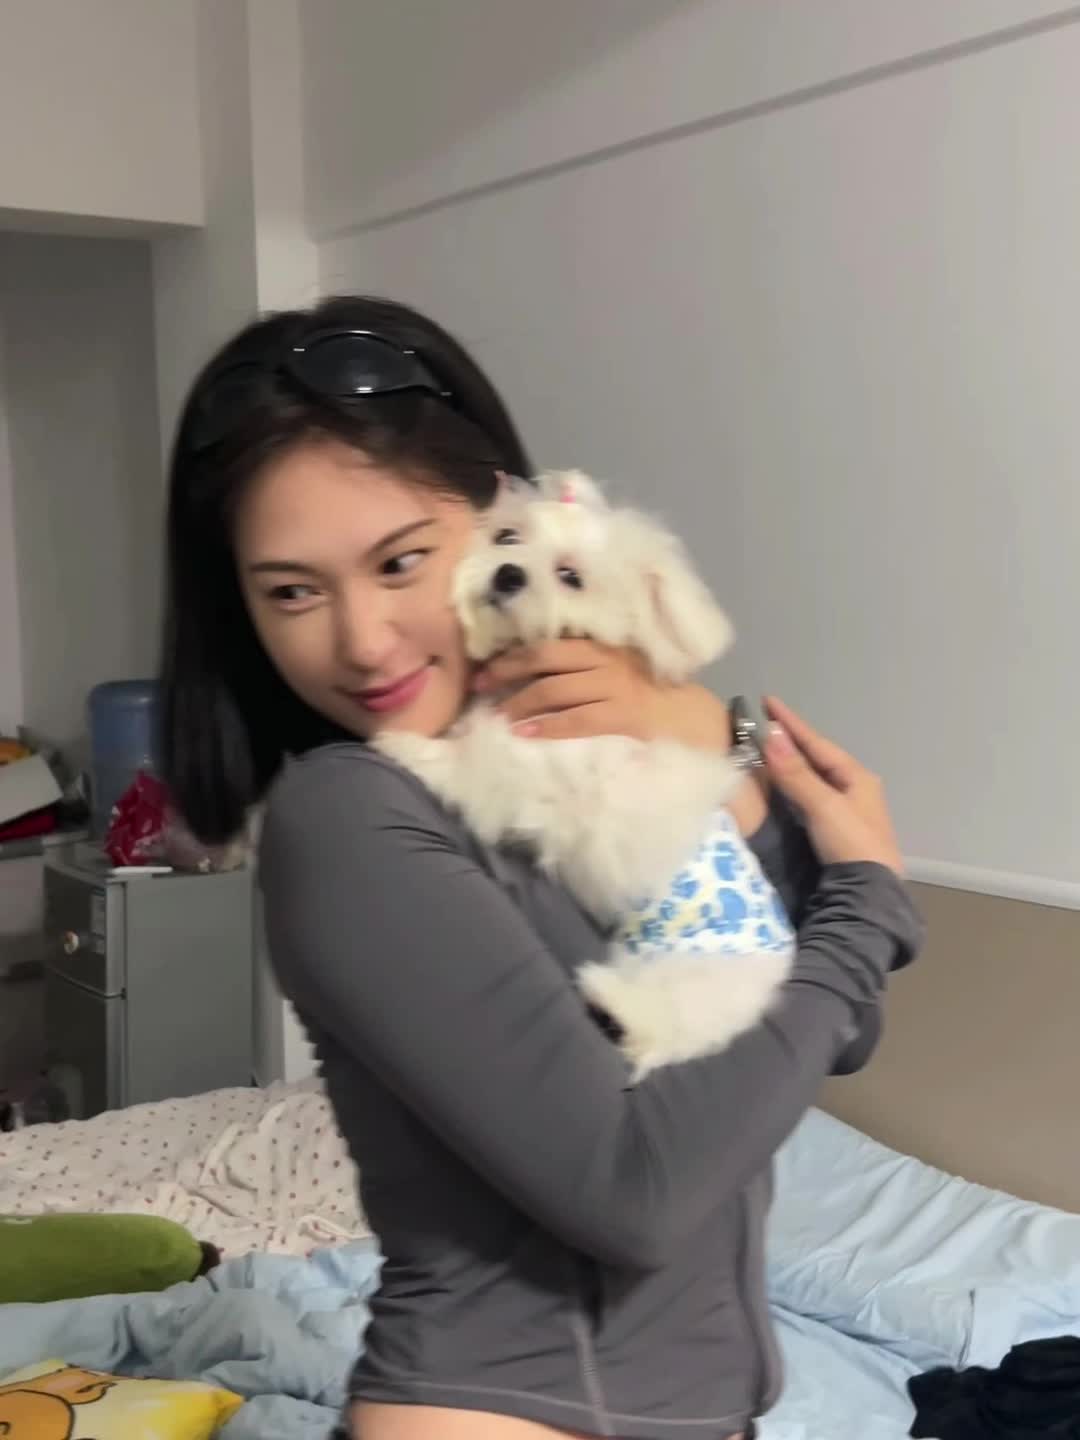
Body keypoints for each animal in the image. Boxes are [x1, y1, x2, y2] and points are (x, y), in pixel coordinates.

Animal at [375, 470, 794, 1077]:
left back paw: (610, 1002)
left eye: (571, 577)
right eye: (507, 537)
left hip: (692, 979)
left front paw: (404, 744)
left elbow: (474, 760)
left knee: (666, 1029)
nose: (507, 573)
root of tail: (776, 963)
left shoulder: (529, 770)